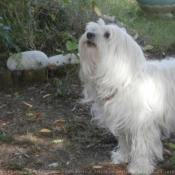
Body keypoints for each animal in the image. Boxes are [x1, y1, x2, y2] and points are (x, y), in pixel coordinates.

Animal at [78, 18, 175, 174]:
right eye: (91, 29)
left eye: (107, 35)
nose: (89, 34)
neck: (125, 79)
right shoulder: (124, 121)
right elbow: (125, 141)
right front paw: (123, 156)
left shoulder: (141, 124)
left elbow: (141, 146)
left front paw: (140, 167)